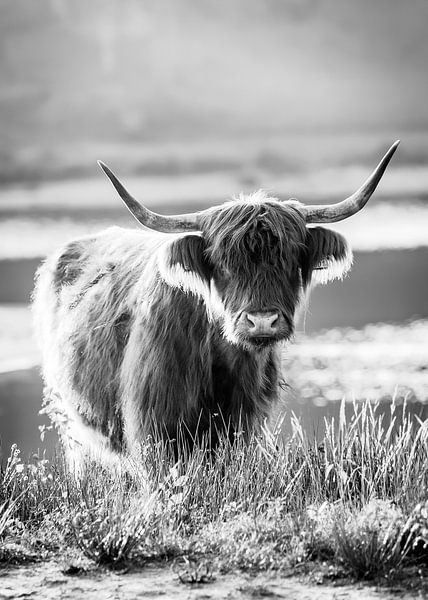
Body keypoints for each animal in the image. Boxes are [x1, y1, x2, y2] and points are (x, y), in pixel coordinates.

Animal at [32, 141, 398, 464]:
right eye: (222, 264)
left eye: (291, 260)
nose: (262, 321)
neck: (219, 357)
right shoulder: (154, 426)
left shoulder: (242, 425)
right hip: (73, 428)